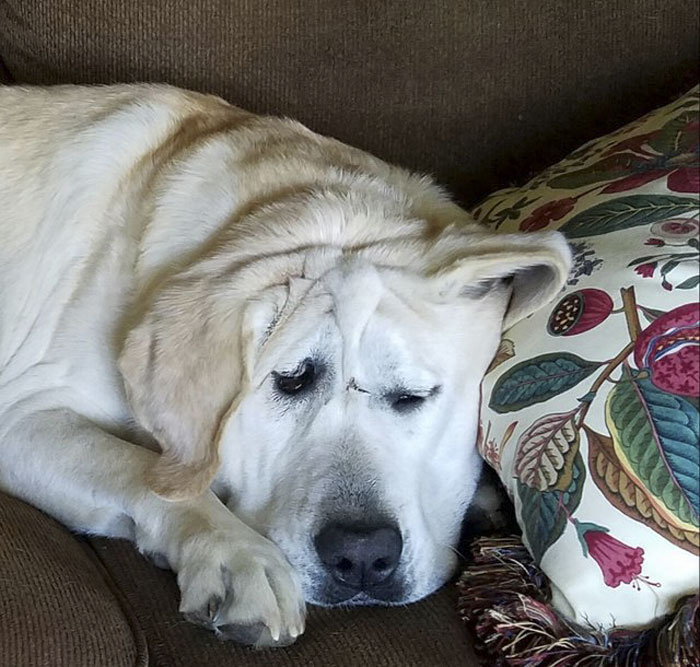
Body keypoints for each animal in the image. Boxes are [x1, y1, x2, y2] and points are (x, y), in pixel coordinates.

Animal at [0, 83, 568, 648]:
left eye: (412, 396)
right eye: (292, 380)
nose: (361, 556)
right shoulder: (22, 417)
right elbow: (139, 468)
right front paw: (237, 556)